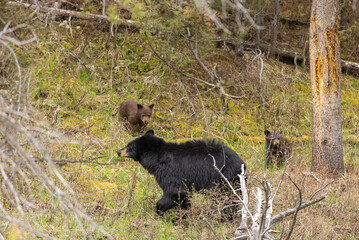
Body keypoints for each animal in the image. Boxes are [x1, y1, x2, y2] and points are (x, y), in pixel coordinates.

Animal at [118, 130, 248, 215]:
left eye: (129, 146)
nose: (118, 151)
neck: (157, 159)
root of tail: (242, 164)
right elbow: (183, 198)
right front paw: (184, 214)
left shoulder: (171, 173)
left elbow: (174, 192)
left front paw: (160, 211)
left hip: (222, 180)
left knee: (224, 199)